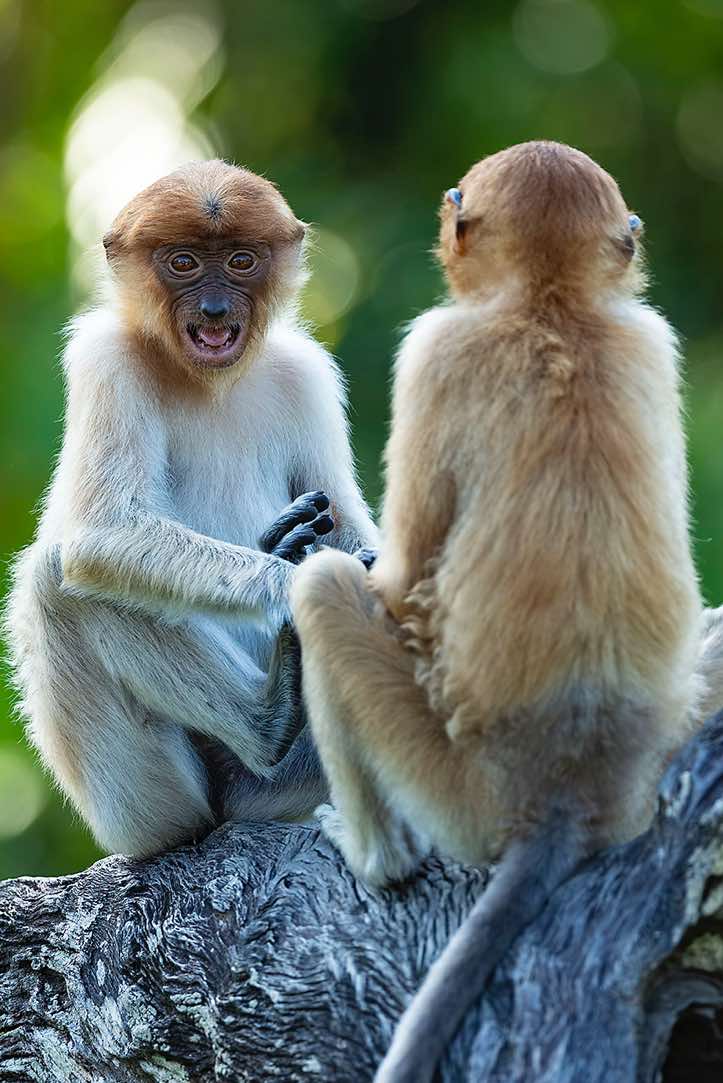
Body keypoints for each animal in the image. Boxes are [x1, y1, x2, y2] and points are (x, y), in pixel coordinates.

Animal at [4, 159, 377, 859]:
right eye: (182, 263)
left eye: (239, 260)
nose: (214, 309)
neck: (210, 382)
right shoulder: (108, 361)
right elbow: (100, 535)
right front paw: (313, 582)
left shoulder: (307, 374)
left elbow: (348, 522)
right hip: (143, 803)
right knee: (59, 579)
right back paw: (270, 720)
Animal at [290, 141, 705, 1082]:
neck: (551, 307)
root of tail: (562, 787)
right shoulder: (651, 338)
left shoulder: (433, 348)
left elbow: (396, 577)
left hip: (457, 793)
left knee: (320, 593)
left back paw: (378, 859)